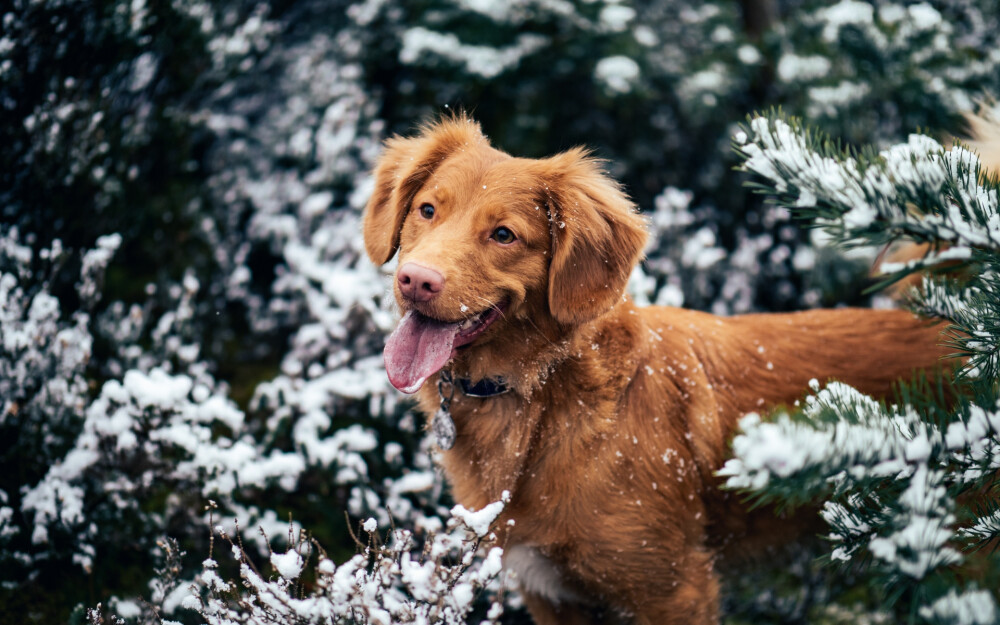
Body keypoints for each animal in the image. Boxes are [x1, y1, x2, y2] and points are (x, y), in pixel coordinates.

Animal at [364, 114, 956, 620]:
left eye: (504, 235)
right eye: (427, 210)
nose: (416, 280)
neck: (540, 397)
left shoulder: (676, 589)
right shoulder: (547, 592)